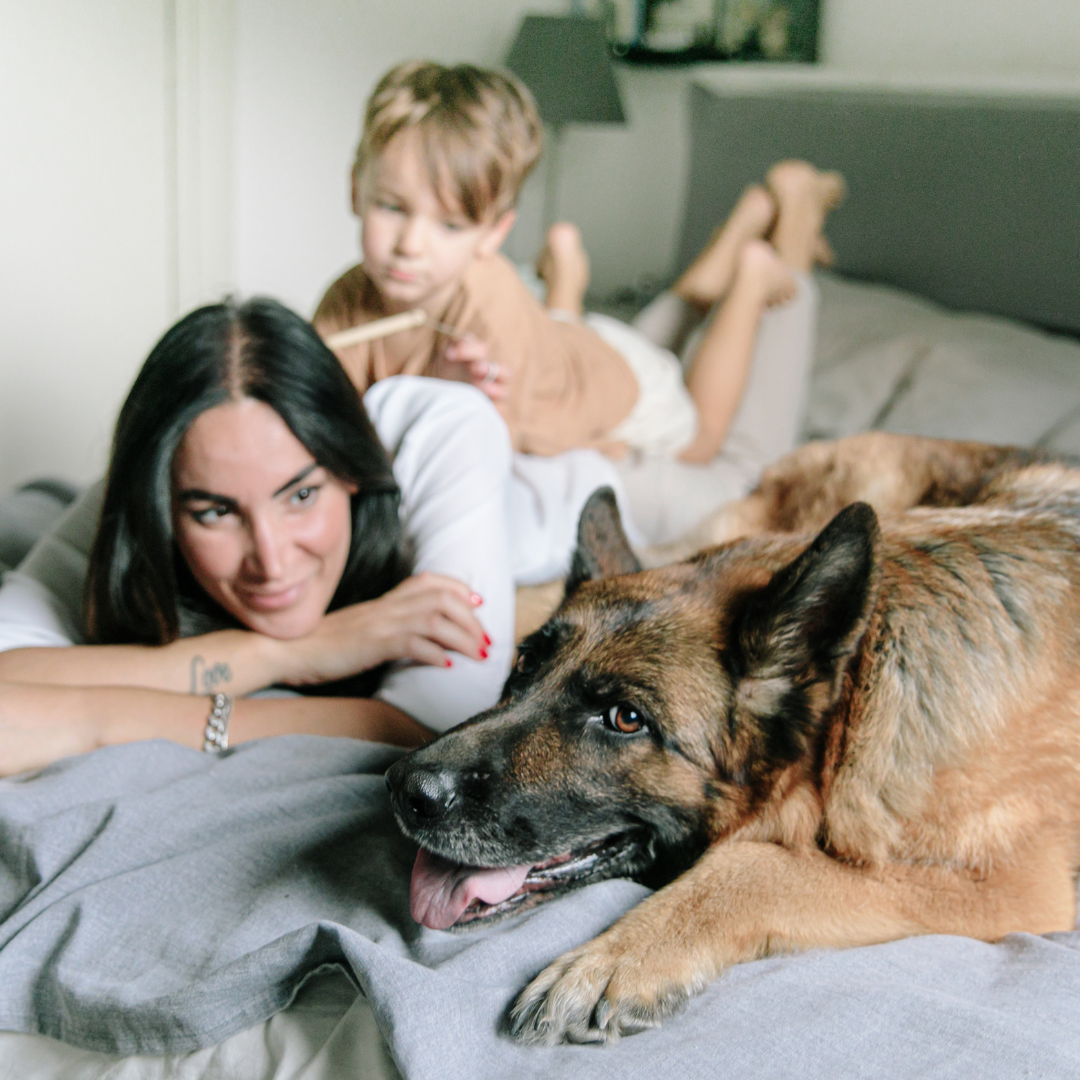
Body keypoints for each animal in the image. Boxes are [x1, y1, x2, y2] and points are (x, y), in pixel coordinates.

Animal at [384, 432, 1080, 1045]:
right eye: (526, 664)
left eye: (626, 719)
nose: (404, 789)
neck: (855, 695)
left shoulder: (1014, 884)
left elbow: (760, 862)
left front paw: (616, 958)